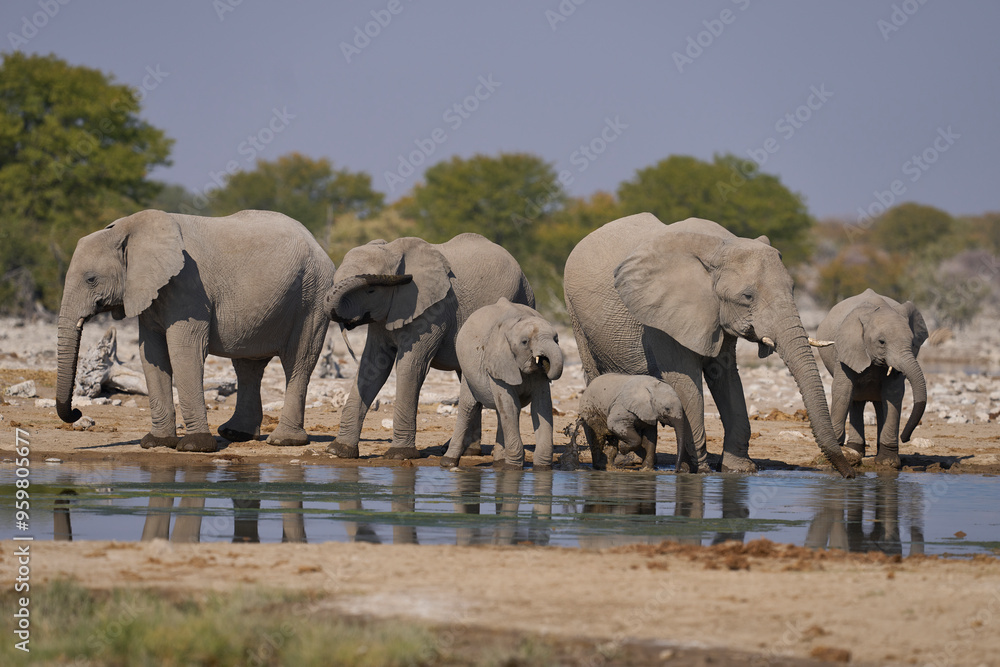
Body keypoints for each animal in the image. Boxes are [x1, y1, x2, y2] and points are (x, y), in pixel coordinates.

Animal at [56, 209, 337, 452]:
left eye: (91, 279)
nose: (77, 412)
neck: (129, 229)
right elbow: (152, 355)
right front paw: (156, 443)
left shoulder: (188, 285)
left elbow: (184, 352)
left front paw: (195, 447)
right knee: (248, 367)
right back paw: (236, 434)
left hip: (312, 295)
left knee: (297, 361)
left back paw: (284, 441)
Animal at [324, 233, 534, 460]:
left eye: (371, 290)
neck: (393, 249)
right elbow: (372, 366)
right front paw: (338, 450)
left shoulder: (434, 311)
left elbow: (410, 366)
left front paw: (399, 454)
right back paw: (468, 451)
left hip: (521, 301)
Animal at [440, 298, 563, 469]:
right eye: (525, 342)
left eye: (556, 340)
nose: (544, 362)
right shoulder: (498, 363)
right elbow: (511, 406)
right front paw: (513, 468)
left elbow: (541, 406)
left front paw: (542, 468)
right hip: (467, 371)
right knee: (468, 407)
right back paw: (448, 462)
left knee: (500, 411)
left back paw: (498, 463)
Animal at [564, 213, 855, 478]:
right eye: (747, 296)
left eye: (793, 288)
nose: (849, 475)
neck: (722, 246)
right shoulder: (662, 319)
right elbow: (685, 380)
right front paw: (699, 470)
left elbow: (727, 377)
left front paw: (738, 469)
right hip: (576, 314)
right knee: (594, 374)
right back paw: (614, 462)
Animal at [816, 289, 928, 469]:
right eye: (881, 342)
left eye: (912, 343)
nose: (905, 438)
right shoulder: (846, 348)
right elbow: (843, 391)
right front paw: (833, 457)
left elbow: (893, 394)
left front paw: (888, 463)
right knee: (855, 401)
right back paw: (854, 450)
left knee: (879, 403)